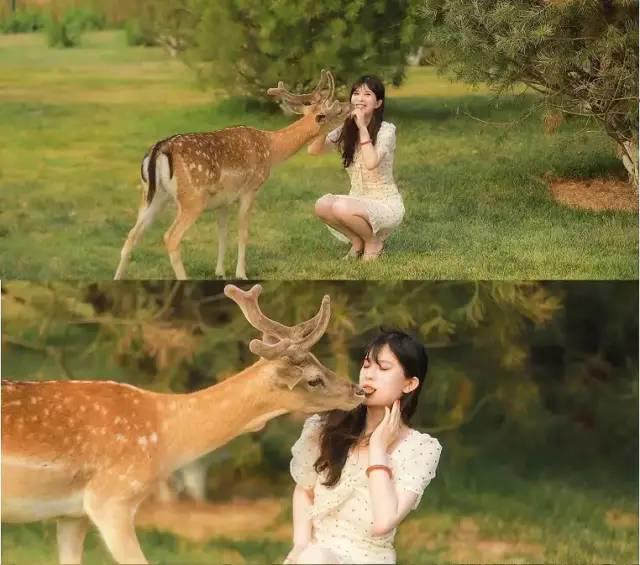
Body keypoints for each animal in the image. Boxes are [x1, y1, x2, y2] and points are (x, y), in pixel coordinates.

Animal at [114, 70, 351, 280]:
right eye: (337, 110)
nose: (350, 107)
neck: (271, 149)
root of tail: (159, 150)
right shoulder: (250, 189)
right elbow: (243, 232)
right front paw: (241, 273)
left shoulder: (223, 200)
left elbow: (222, 232)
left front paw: (219, 272)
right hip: (192, 198)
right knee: (171, 237)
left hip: (152, 195)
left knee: (132, 235)